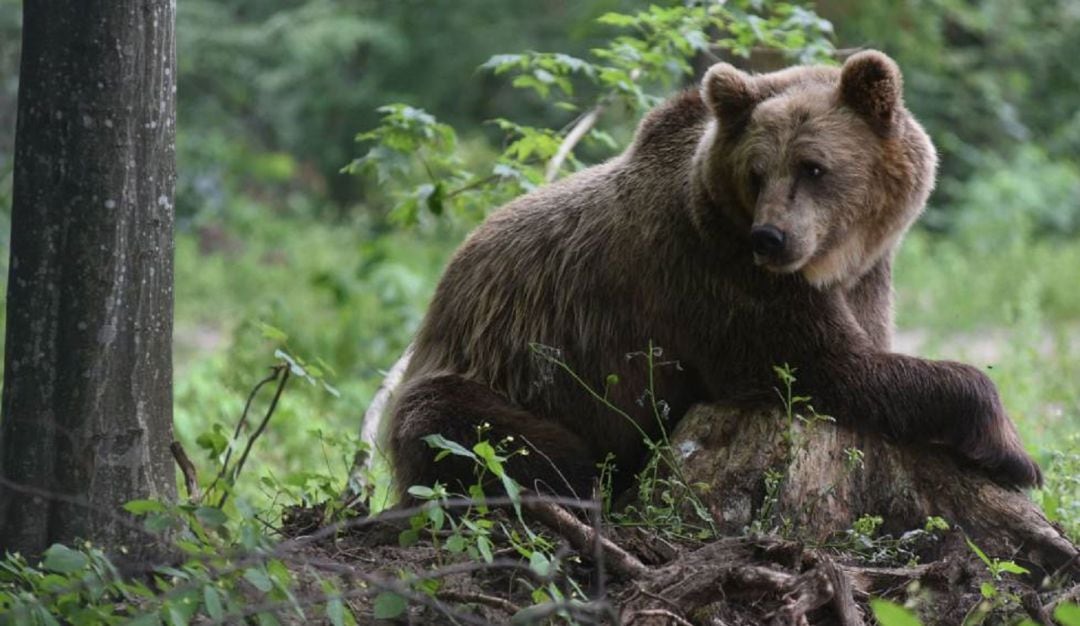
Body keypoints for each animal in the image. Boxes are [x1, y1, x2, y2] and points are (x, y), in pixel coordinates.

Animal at [386, 50, 1036, 498]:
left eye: (813, 166)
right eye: (756, 171)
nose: (769, 237)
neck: (829, 262)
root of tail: (441, 296)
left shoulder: (865, 276)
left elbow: (861, 349)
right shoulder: (716, 277)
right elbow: (827, 369)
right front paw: (1013, 452)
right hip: (488, 372)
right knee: (474, 433)